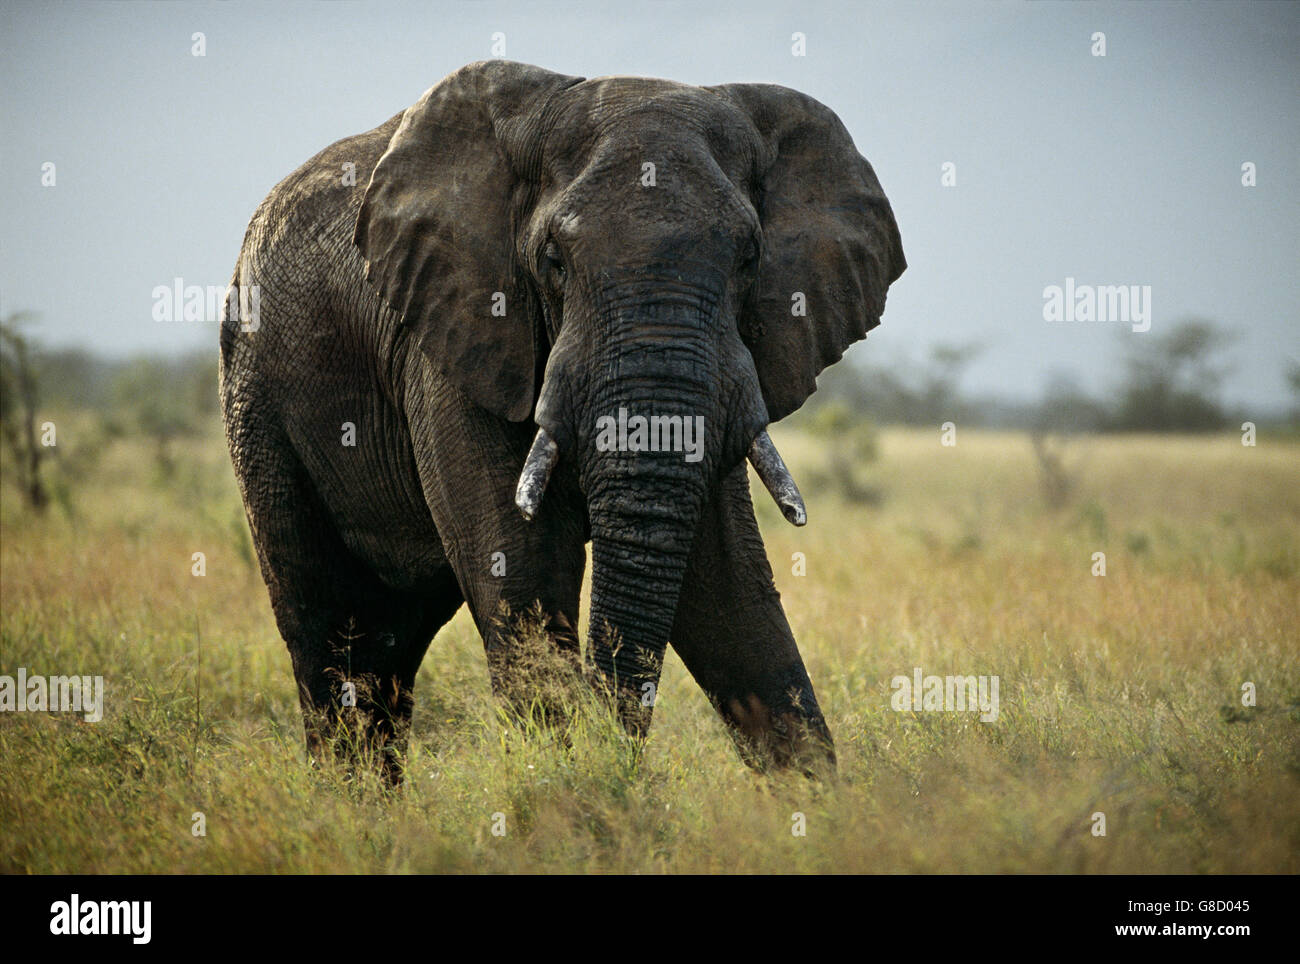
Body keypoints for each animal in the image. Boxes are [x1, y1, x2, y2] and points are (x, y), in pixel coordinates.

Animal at [219, 60, 905, 783]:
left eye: (749, 259)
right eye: (553, 260)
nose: (623, 765)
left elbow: (729, 589)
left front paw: (812, 801)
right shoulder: (451, 343)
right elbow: (525, 577)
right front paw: (566, 798)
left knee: (385, 646)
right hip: (257, 398)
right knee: (326, 629)